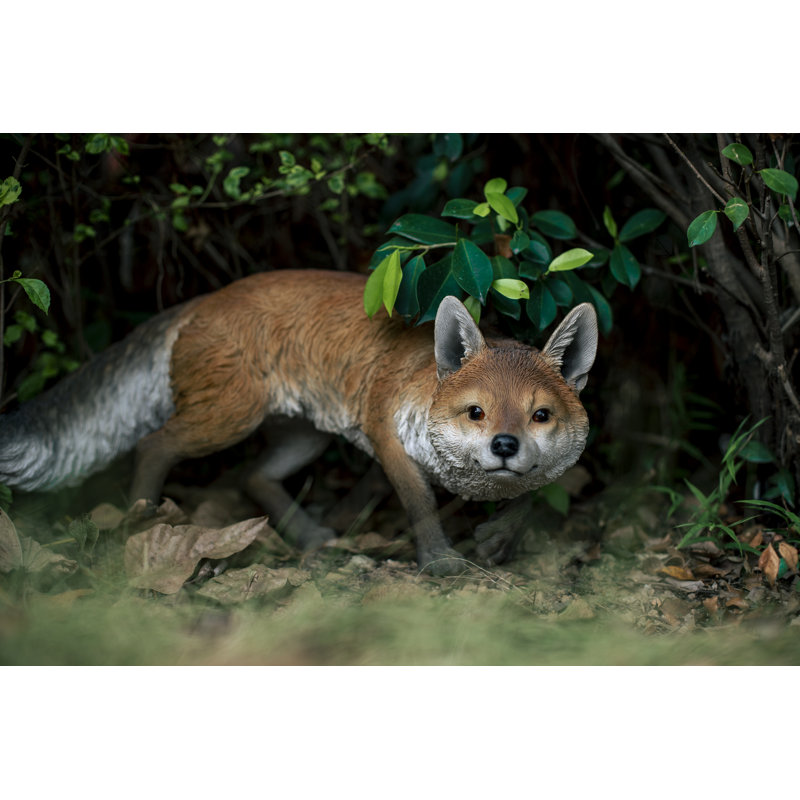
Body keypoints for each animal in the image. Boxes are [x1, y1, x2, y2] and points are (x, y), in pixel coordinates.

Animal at [0, 269, 598, 575]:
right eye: (476, 412)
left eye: (540, 416)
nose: (504, 445)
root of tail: (204, 299)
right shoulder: (385, 434)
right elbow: (421, 505)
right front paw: (439, 560)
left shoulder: (387, 450)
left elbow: (538, 492)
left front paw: (497, 539)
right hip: (228, 418)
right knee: (152, 446)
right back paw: (143, 519)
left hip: (302, 438)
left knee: (253, 476)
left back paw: (309, 534)